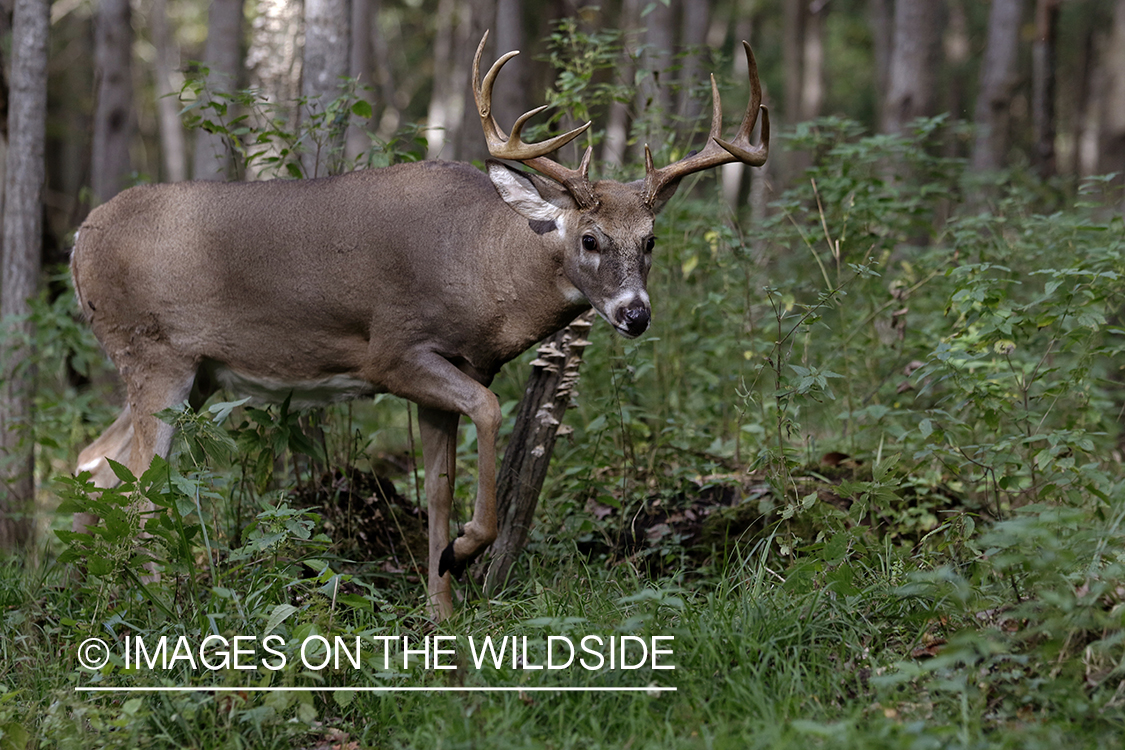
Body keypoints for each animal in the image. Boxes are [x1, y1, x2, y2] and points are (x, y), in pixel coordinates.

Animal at [70, 32, 769, 620]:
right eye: (590, 238)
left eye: (650, 240)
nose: (635, 314)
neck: (482, 265)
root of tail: (80, 238)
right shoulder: (394, 352)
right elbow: (487, 411)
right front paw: (462, 552)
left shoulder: (454, 371)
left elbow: (437, 487)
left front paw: (442, 608)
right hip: (154, 352)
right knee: (138, 484)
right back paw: (153, 606)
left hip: (199, 376)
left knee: (95, 461)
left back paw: (94, 593)